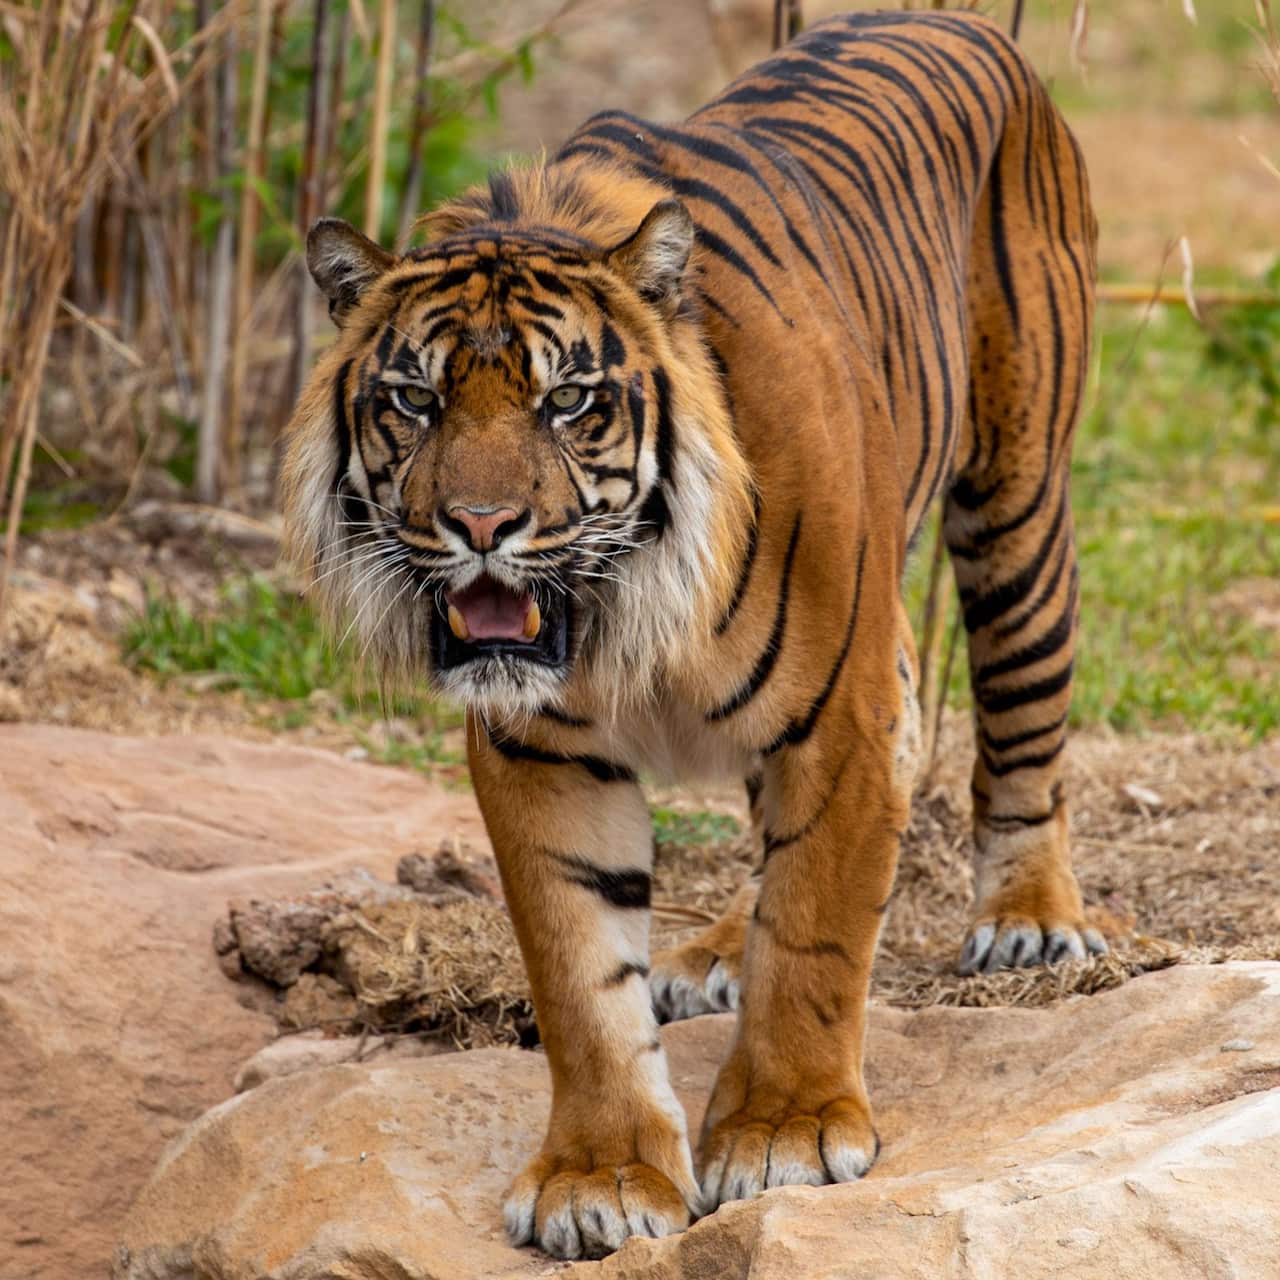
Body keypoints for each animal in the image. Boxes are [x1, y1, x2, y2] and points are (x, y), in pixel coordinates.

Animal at [282, 7, 1105, 1261]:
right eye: (414, 400)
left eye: (567, 401)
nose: (479, 525)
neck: (622, 608)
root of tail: (958, 24)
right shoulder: (540, 748)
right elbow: (578, 973)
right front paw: (601, 1176)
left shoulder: (841, 711)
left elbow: (816, 931)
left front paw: (782, 1130)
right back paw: (719, 945)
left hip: (1013, 497)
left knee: (1020, 714)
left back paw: (1025, 921)